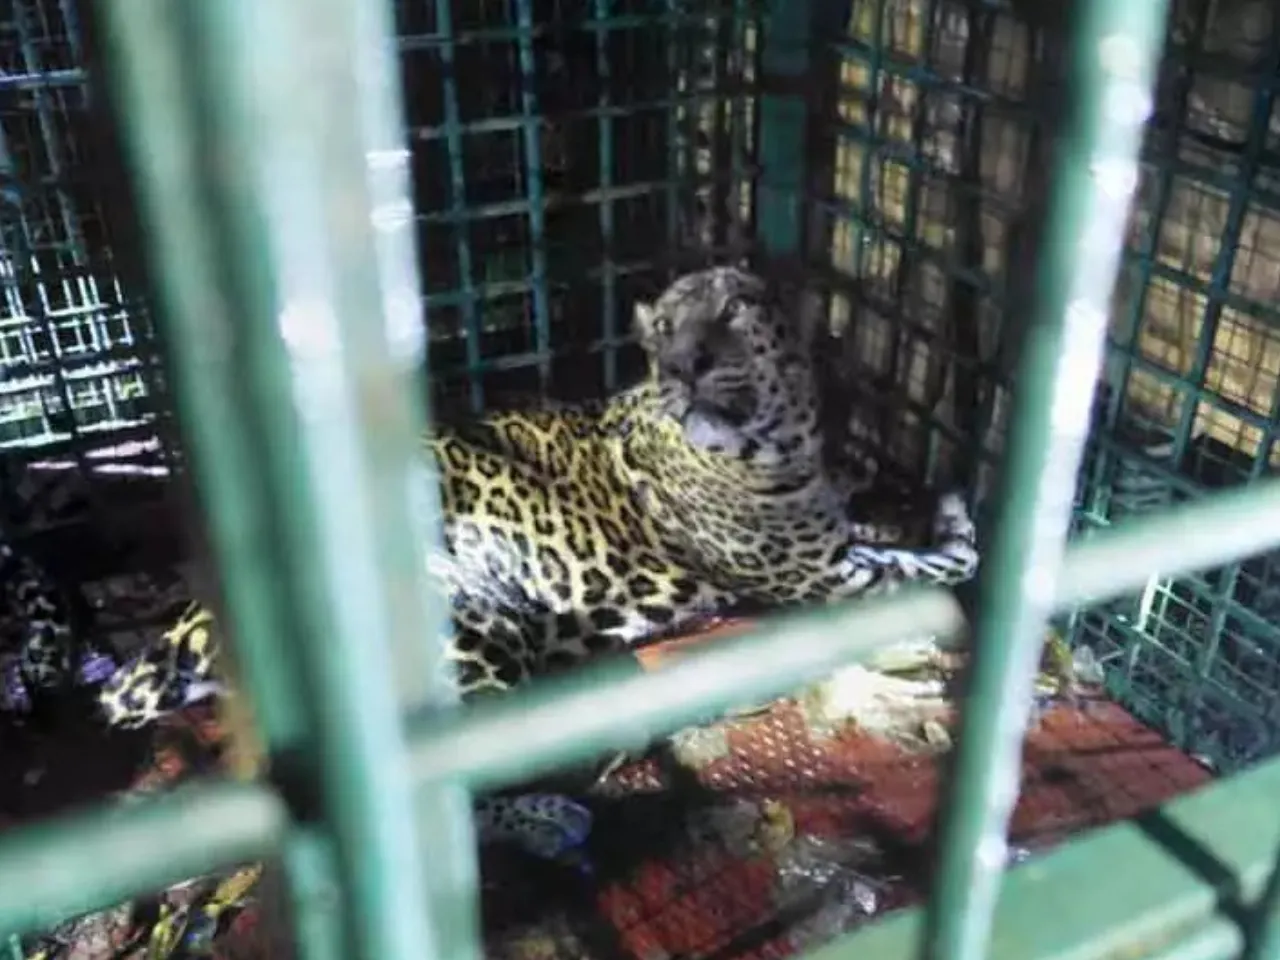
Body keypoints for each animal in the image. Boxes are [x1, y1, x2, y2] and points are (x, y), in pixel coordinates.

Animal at [18, 266, 979, 868]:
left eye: (735, 313)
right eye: (666, 331)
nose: (689, 364)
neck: (781, 443)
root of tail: (200, 614)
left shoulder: (834, 544)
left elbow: (891, 531)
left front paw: (916, 497)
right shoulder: (821, 577)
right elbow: (946, 565)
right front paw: (961, 510)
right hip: (468, 641)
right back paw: (553, 815)